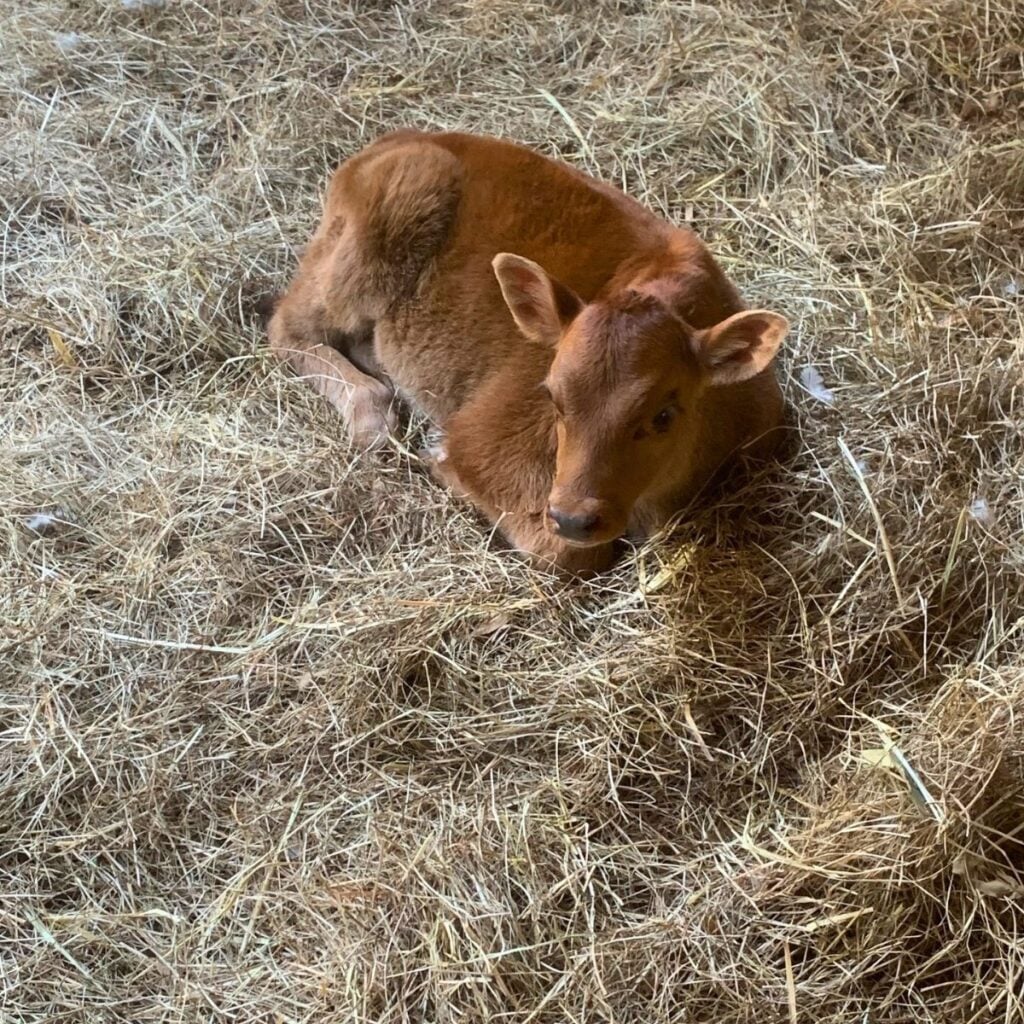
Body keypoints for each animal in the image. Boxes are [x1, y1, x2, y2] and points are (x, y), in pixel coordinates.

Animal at [267, 131, 788, 573]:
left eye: (664, 414)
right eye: (552, 397)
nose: (575, 518)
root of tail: (393, 140)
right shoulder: (485, 440)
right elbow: (566, 553)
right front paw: (435, 455)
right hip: (364, 250)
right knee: (287, 327)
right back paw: (372, 416)